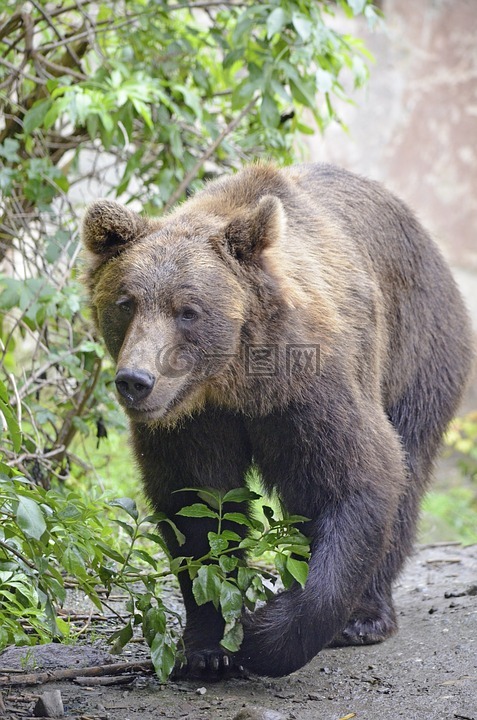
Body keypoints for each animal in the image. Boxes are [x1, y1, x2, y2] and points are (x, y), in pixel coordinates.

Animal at [82, 163, 472, 680]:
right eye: (125, 302)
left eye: (188, 310)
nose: (136, 381)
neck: (234, 381)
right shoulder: (192, 423)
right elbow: (197, 507)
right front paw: (208, 646)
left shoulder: (310, 387)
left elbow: (354, 479)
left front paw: (264, 633)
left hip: (419, 349)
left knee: (408, 472)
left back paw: (366, 616)